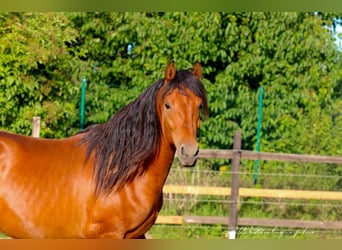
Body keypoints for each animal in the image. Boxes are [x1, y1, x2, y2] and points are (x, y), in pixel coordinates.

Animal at [0, 60, 208, 238]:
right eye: (168, 105)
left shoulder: (136, 235)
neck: (122, 172)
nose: (189, 152)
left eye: (199, 106)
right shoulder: (110, 234)